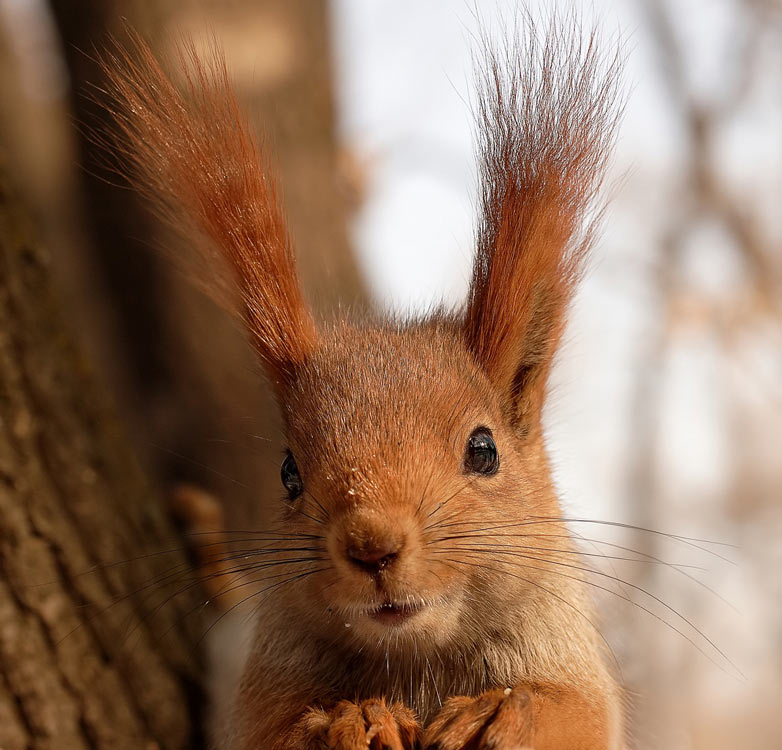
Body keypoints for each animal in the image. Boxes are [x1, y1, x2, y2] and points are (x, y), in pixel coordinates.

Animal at [99, 14, 624, 750]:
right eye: (288, 472)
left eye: (484, 449)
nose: (371, 545)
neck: (416, 653)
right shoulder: (266, 674)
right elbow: (270, 724)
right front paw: (354, 717)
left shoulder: (566, 647)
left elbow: (577, 711)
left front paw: (501, 710)